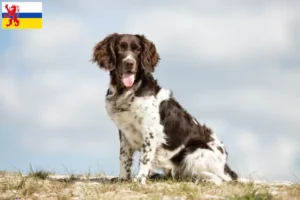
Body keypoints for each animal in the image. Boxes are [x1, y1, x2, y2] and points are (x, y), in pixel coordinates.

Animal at [92, 32, 238, 184]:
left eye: (137, 49)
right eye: (119, 48)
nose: (129, 63)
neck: (128, 91)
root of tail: (226, 167)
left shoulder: (150, 130)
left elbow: (144, 158)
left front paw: (140, 179)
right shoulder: (124, 131)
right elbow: (124, 157)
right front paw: (123, 179)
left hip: (194, 152)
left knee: (220, 179)